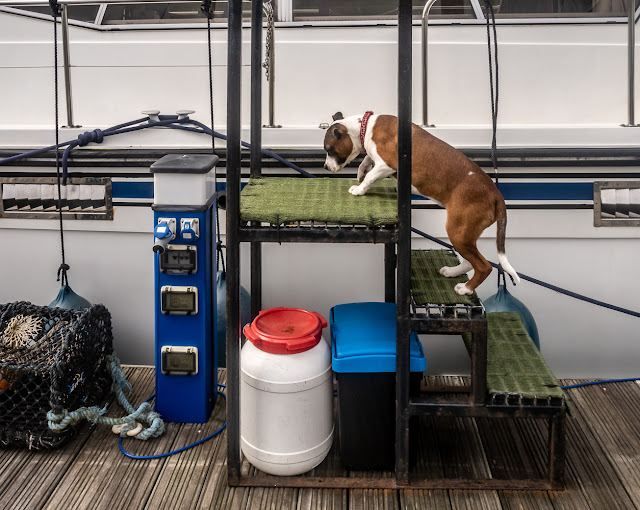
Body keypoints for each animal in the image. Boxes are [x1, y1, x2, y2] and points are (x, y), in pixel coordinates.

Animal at [324, 111, 520, 294]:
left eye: (329, 149)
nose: (325, 167)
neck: (364, 127)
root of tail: (495, 194)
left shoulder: (387, 164)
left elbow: (371, 176)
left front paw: (359, 189)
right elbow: (366, 162)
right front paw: (361, 171)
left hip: (458, 231)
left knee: (483, 266)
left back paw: (465, 289)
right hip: (466, 235)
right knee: (470, 262)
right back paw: (452, 272)